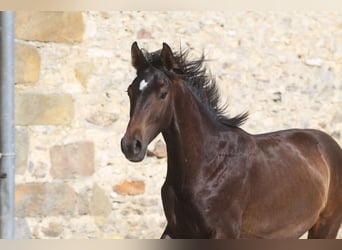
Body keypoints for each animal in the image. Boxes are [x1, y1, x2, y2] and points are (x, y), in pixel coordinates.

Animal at [120, 41, 342, 238]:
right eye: (130, 91)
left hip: (326, 226)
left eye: (163, 93)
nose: (131, 146)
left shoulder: (224, 232)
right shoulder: (176, 230)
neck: (207, 164)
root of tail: (328, 143)